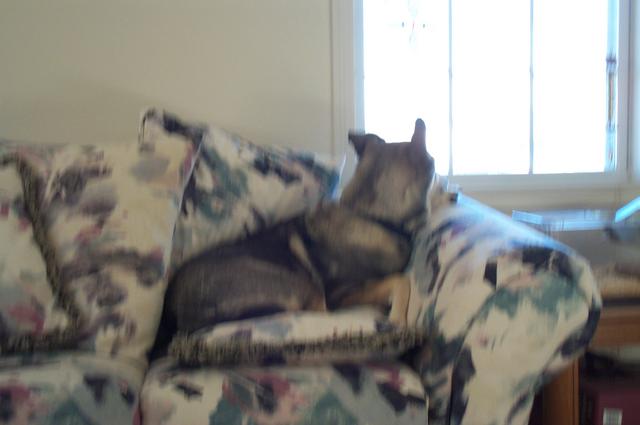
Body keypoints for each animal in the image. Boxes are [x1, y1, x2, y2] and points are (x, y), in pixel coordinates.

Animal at [161, 119, 435, 340]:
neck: (368, 215)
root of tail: (181, 315)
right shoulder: (343, 293)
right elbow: (400, 280)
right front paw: (398, 318)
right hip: (301, 286)